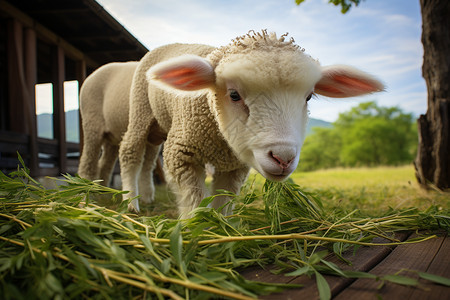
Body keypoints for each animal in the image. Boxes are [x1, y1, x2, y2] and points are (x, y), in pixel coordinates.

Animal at [78, 61, 158, 204]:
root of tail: (91, 75)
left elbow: (148, 165)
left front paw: (146, 198)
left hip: (112, 136)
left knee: (105, 164)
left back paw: (102, 193)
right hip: (92, 124)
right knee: (88, 163)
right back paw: (86, 197)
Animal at [118, 30, 384, 217]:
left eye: (309, 97)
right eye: (234, 94)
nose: (283, 158)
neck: (220, 141)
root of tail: (171, 43)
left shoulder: (234, 167)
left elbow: (223, 201)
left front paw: (220, 226)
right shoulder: (181, 154)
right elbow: (194, 201)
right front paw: (198, 227)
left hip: (157, 126)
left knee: (150, 157)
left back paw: (147, 196)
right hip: (140, 109)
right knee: (131, 152)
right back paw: (131, 202)